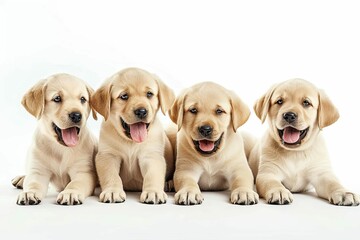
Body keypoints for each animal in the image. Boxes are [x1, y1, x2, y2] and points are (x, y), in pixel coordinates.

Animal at [12, 74, 97, 205]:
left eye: (83, 99)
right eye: (57, 98)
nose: (76, 115)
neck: (60, 148)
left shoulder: (83, 172)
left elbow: (75, 183)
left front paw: (70, 193)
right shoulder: (39, 171)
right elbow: (33, 183)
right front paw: (29, 193)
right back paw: (22, 178)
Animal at [93, 67, 176, 204]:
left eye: (149, 94)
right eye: (124, 96)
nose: (141, 111)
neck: (131, 142)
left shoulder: (151, 155)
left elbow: (152, 174)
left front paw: (153, 192)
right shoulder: (108, 155)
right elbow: (111, 175)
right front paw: (112, 191)